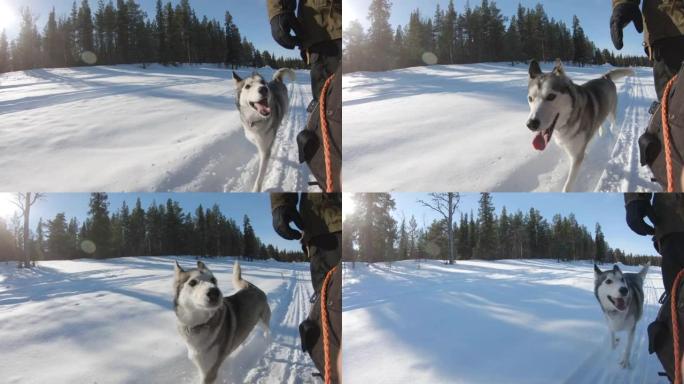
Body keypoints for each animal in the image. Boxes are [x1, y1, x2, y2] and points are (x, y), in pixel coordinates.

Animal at [528, 59, 632, 191]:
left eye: (551, 96)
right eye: (530, 98)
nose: (531, 124)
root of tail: (605, 77)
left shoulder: (576, 156)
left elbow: (568, 186)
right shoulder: (572, 151)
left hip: (611, 113)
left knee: (612, 123)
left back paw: (614, 132)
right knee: (599, 122)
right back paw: (600, 132)